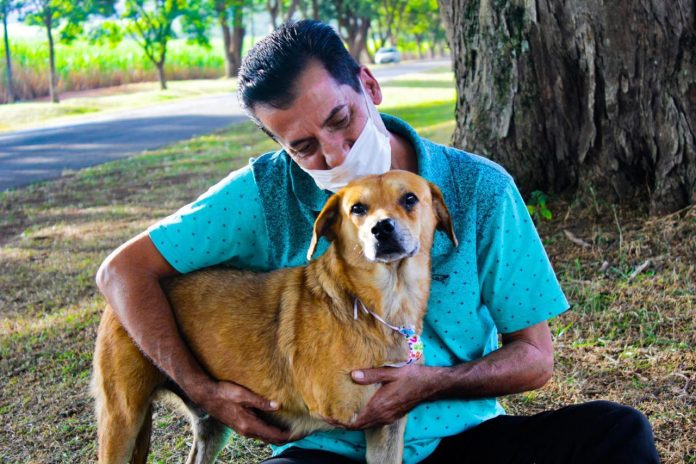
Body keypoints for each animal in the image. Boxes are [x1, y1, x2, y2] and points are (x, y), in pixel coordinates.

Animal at [92, 170, 458, 464]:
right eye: (357, 209)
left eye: (409, 199)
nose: (381, 229)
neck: (378, 308)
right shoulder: (348, 412)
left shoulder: (388, 424)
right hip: (123, 419)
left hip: (212, 426)